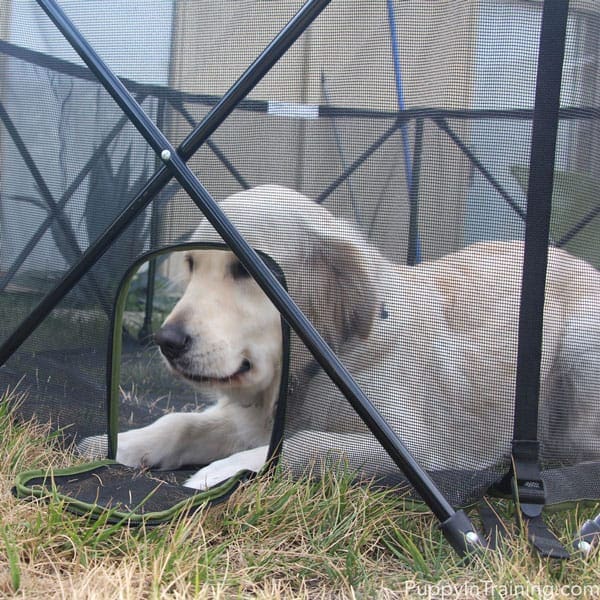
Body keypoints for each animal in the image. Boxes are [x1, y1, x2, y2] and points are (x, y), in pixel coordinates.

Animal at [79, 185, 600, 490]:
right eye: (190, 265)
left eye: (246, 269)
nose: (166, 341)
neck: (317, 362)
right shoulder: (252, 415)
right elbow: (182, 422)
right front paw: (121, 444)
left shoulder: (418, 448)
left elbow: (306, 445)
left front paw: (227, 469)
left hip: (578, 349)